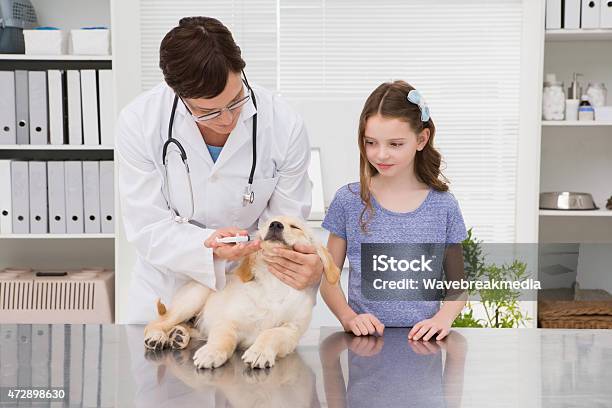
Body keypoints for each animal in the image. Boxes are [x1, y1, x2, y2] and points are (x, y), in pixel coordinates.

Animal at [146, 217, 342, 370]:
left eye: (295, 227)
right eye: (267, 224)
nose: (275, 225)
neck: (274, 285)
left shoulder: (291, 331)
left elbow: (270, 334)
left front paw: (259, 352)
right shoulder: (228, 321)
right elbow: (223, 338)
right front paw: (211, 352)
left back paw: (178, 335)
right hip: (194, 298)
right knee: (157, 322)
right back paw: (157, 336)